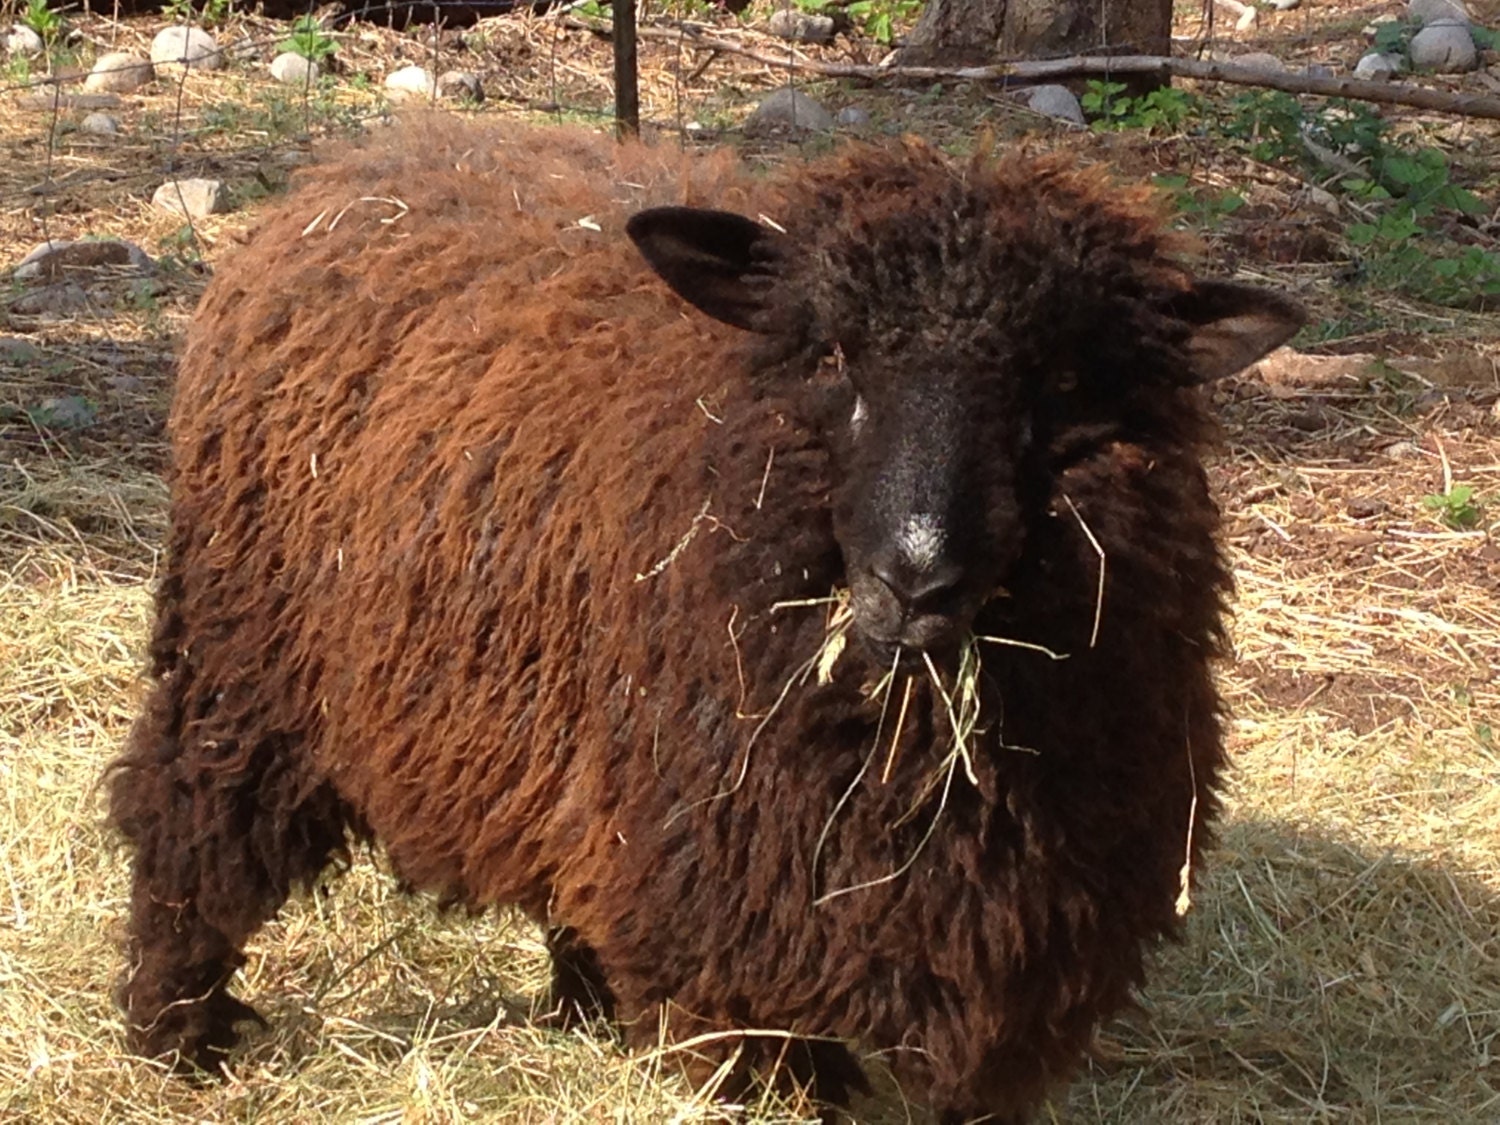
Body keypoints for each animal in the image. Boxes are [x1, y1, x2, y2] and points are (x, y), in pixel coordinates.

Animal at [102, 112, 1302, 1122]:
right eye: (833, 354)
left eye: (1059, 384)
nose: (917, 579)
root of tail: (364, 160)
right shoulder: (746, 937)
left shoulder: (1021, 946)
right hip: (249, 654)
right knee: (190, 819)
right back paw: (176, 1031)